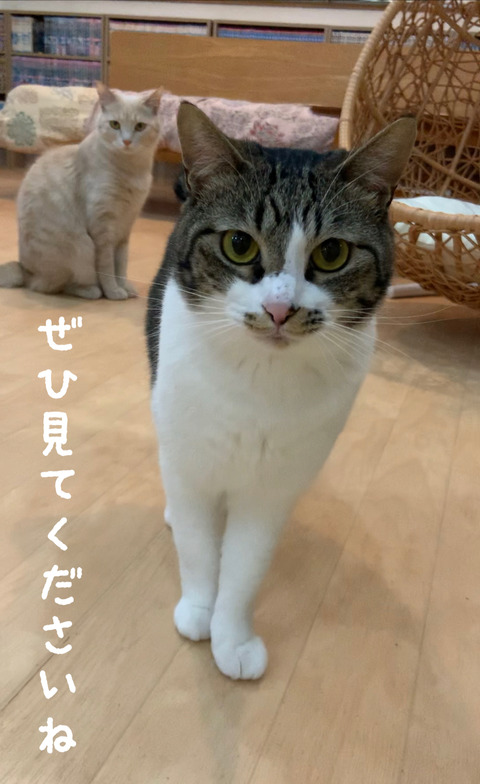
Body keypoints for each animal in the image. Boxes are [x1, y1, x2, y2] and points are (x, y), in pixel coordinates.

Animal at [0, 82, 162, 299]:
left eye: (140, 127)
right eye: (115, 125)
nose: (127, 142)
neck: (131, 170)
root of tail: (23, 270)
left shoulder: (125, 228)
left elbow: (121, 264)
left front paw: (125, 287)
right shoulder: (103, 229)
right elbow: (107, 267)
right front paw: (114, 291)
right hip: (82, 246)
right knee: (52, 286)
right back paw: (92, 290)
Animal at [146, 103, 415, 680]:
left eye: (332, 252)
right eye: (238, 244)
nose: (278, 309)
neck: (258, 383)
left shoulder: (274, 487)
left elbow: (245, 567)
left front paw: (232, 637)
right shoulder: (190, 458)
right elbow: (198, 547)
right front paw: (198, 609)